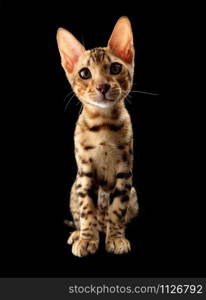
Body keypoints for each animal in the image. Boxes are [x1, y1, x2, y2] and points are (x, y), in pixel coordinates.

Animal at [56, 15, 138, 255]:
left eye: (115, 67)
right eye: (85, 73)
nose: (102, 86)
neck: (103, 126)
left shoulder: (124, 173)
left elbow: (117, 210)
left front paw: (116, 238)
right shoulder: (85, 174)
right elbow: (87, 210)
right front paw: (87, 239)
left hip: (134, 195)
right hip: (73, 188)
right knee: (79, 216)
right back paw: (78, 234)